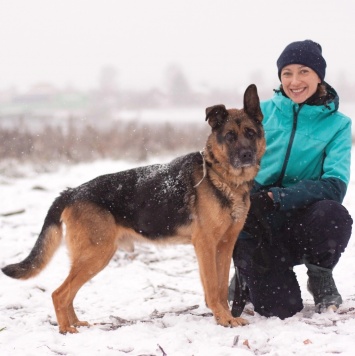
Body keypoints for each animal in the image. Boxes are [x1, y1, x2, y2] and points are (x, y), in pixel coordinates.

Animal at [2, 84, 264, 334]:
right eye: (229, 136)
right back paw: (67, 330)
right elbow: (212, 288)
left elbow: (220, 288)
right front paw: (224, 319)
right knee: (59, 293)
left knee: (68, 293)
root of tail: (71, 191)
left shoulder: (225, 246)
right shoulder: (206, 246)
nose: (246, 155)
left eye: (250, 133)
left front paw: (226, 317)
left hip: (94, 256)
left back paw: (77, 324)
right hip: (97, 254)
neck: (221, 177)